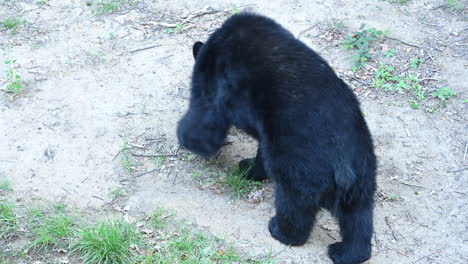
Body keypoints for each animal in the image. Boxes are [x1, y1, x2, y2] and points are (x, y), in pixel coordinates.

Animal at [176, 13, 376, 264]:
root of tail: (344, 165)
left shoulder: (216, 76)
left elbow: (206, 111)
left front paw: (188, 140)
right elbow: (261, 149)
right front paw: (249, 167)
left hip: (301, 168)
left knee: (295, 202)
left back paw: (281, 231)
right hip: (363, 176)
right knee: (358, 217)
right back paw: (346, 252)